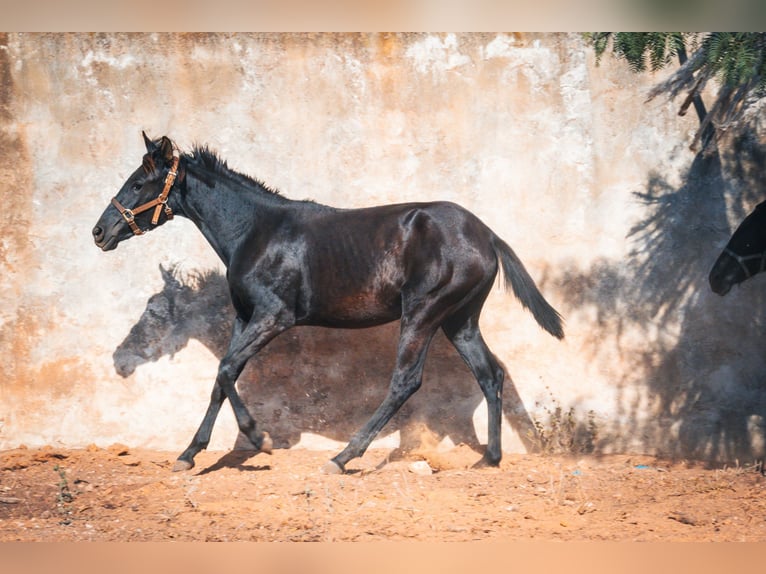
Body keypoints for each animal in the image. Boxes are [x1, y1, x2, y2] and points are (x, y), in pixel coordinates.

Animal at [94, 133, 564, 474]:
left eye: (137, 183)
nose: (100, 232)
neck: (256, 232)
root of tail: (487, 234)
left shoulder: (275, 316)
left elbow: (225, 370)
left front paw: (261, 439)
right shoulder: (245, 318)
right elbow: (221, 379)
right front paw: (189, 454)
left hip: (423, 314)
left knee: (406, 381)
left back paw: (342, 458)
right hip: (459, 320)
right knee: (490, 374)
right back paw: (489, 459)